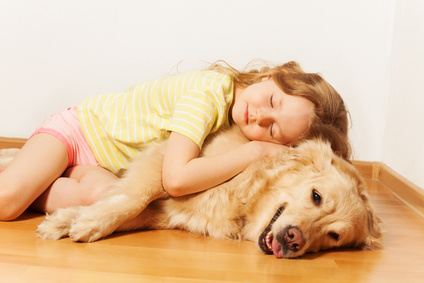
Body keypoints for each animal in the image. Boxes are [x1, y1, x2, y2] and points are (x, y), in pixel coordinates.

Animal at [2, 126, 380, 260]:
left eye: (333, 236)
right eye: (316, 196)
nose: (294, 239)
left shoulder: (169, 211)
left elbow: (127, 209)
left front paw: (72, 219)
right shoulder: (167, 160)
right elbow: (132, 198)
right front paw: (83, 223)